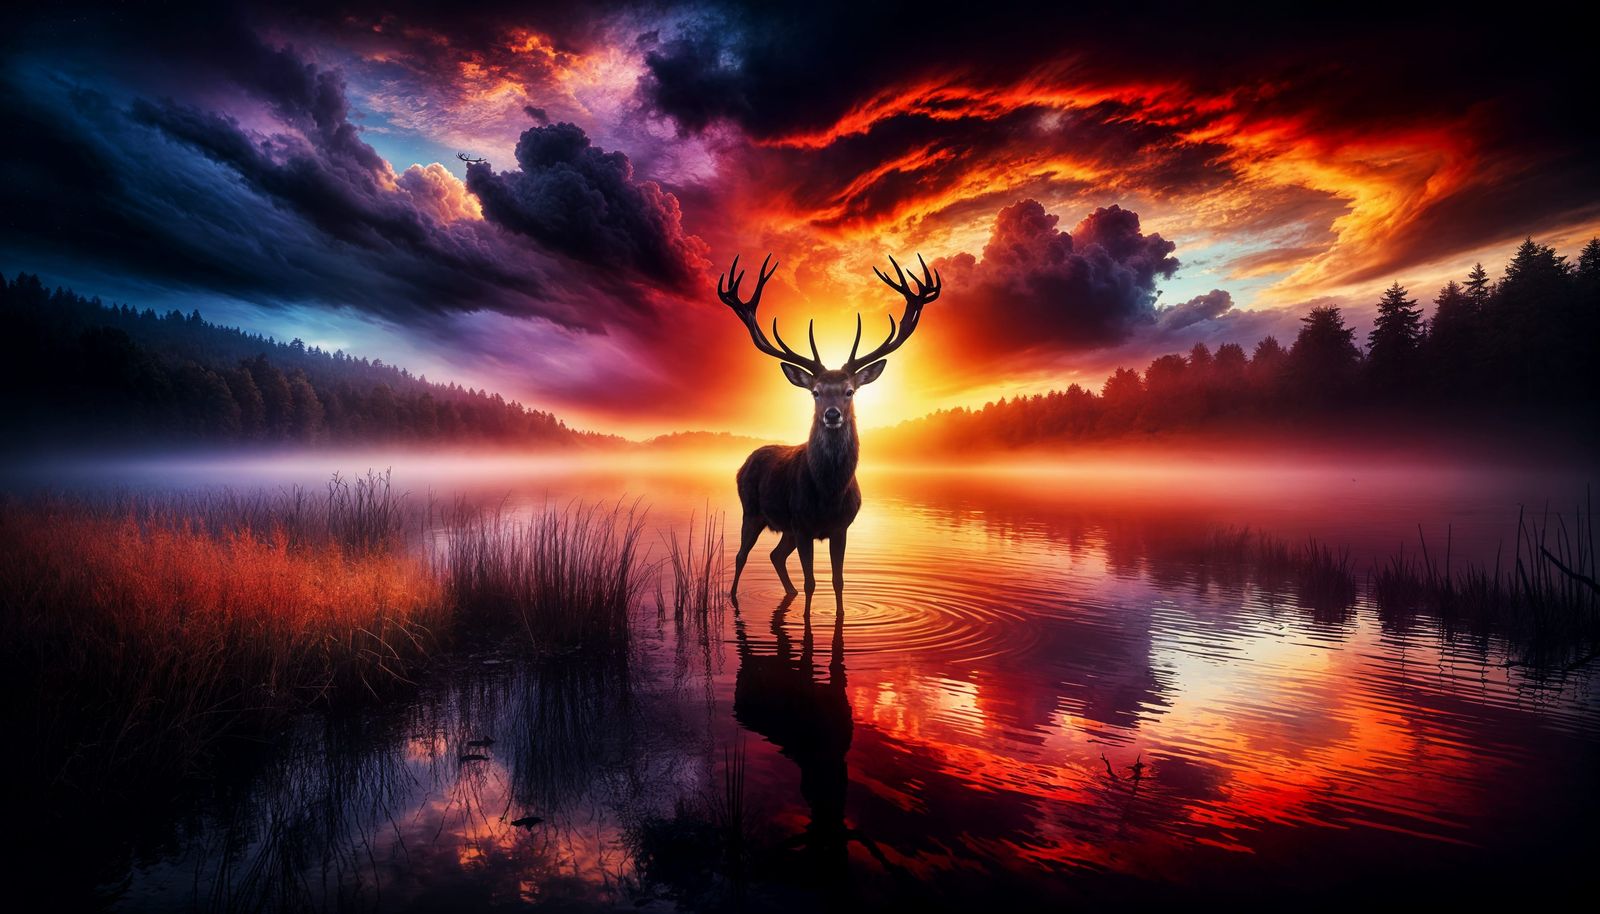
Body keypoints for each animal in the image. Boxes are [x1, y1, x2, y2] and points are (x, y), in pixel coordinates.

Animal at [719, 252, 939, 599]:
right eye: (816, 391)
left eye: (850, 391)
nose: (833, 414)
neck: (829, 494)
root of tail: (745, 461)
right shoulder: (801, 523)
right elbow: (812, 582)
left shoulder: (840, 527)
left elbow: (838, 581)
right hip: (751, 510)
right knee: (742, 555)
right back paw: (732, 595)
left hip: (783, 528)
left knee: (775, 555)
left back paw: (788, 592)